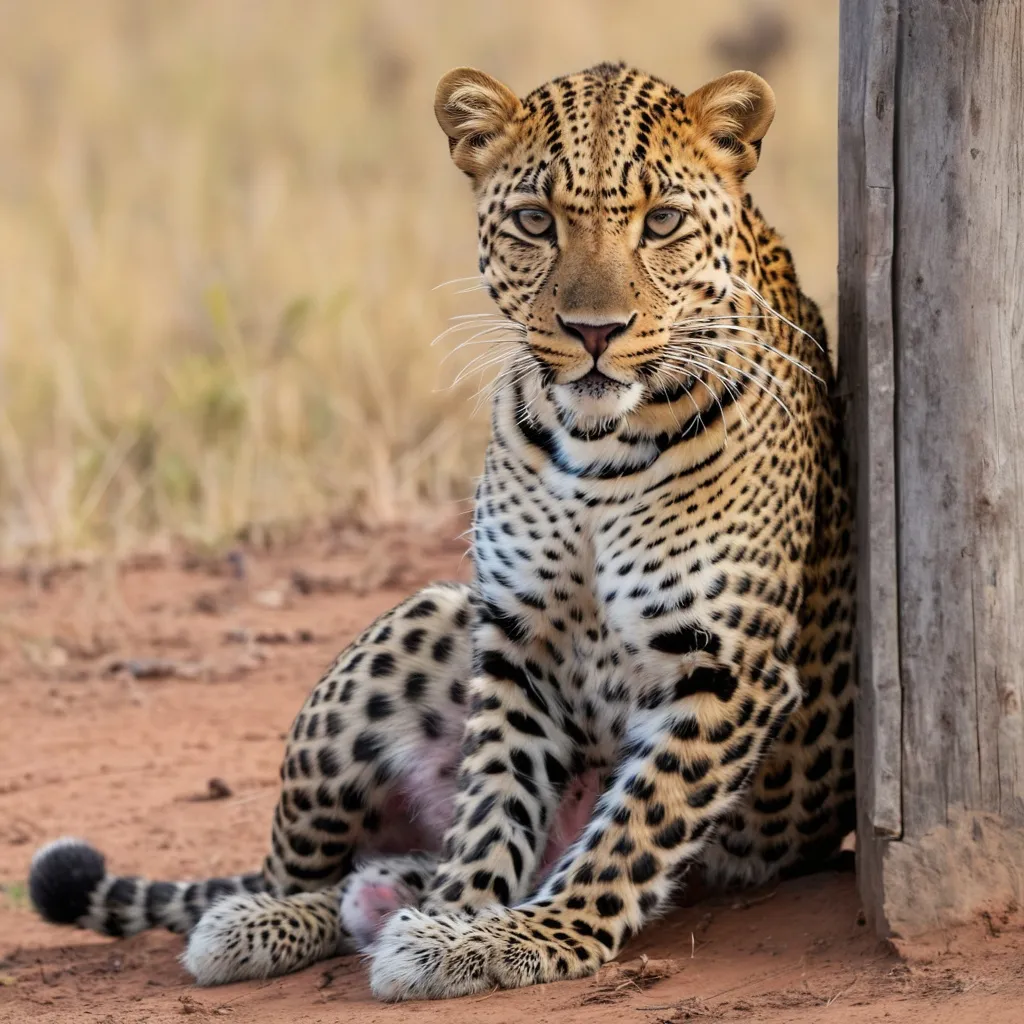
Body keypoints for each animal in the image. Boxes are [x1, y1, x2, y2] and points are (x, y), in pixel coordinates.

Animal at [28, 61, 851, 999]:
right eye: (536, 221)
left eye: (663, 222)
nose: (594, 332)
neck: (597, 450)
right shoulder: (519, 638)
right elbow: (493, 799)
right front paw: (461, 916)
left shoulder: (726, 666)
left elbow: (628, 833)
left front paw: (524, 934)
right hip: (414, 631)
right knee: (309, 866)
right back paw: (267, 920)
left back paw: (375, 901)